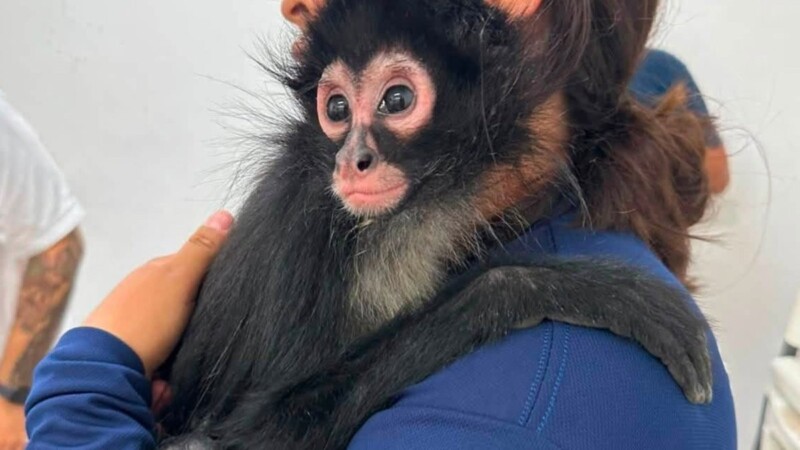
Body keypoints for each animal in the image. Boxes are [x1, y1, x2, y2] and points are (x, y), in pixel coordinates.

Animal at [157, 0, 717, 448]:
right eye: (336, 108)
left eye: (397, 100)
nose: (351, 162)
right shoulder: (303, 216)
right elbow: (256, 434)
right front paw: (568, 288)